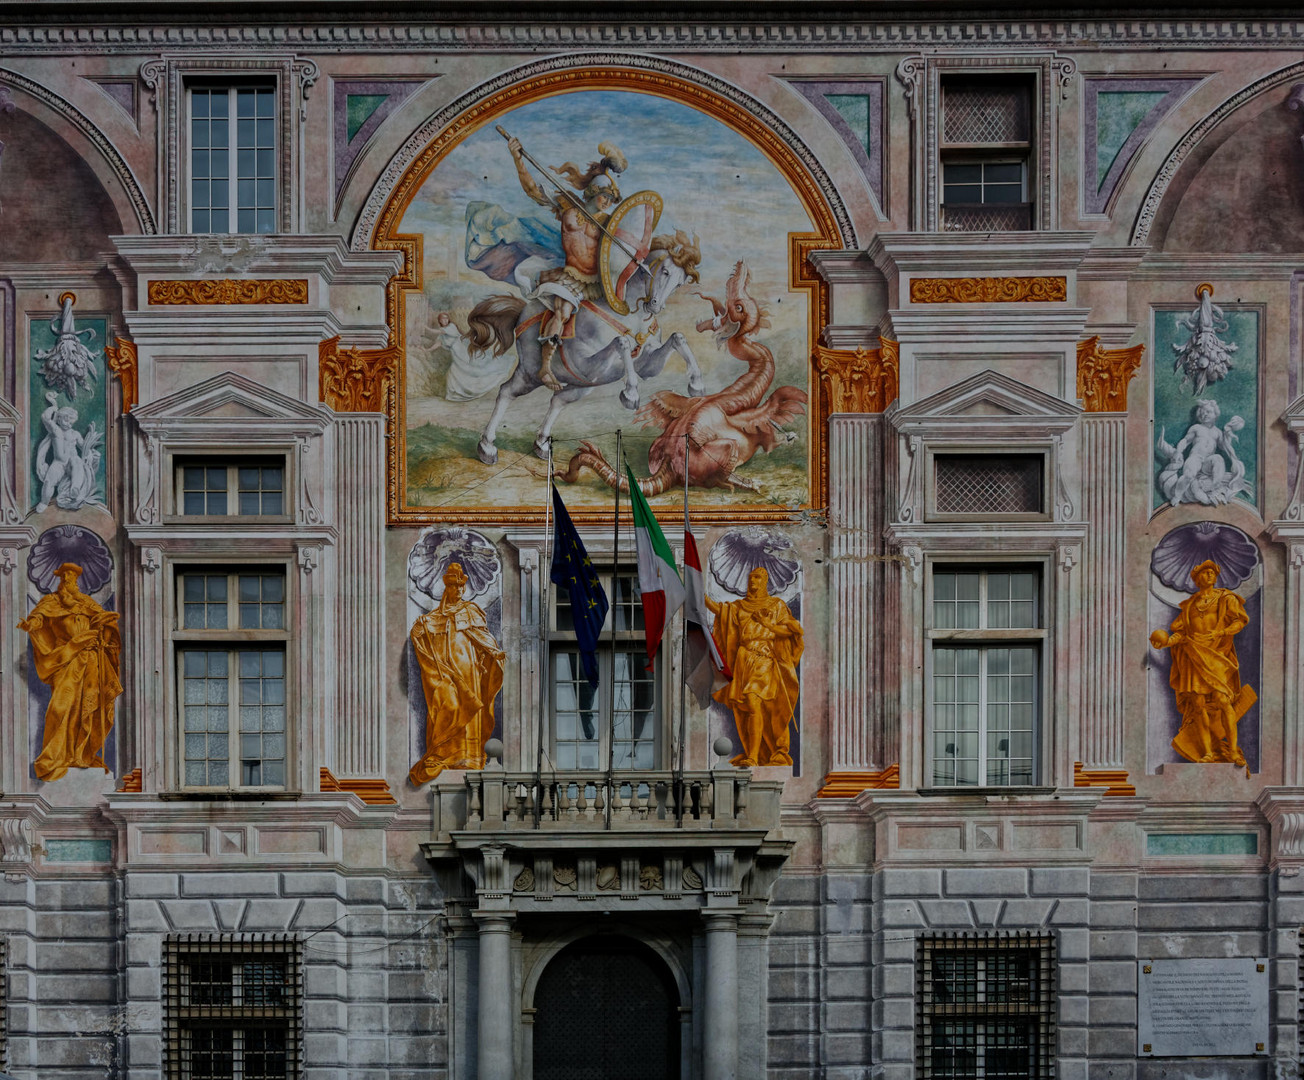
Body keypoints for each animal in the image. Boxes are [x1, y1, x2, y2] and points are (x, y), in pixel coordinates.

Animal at [472, 229, 704, 461]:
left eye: (680, 283)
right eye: (665, 271)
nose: (655, 306)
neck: (632, 316)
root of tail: (523, 312)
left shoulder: (644, 367)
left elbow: (677, 337)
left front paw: (696, 383)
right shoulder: (587, 366)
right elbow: (622, 343)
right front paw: (630, 393)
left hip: (580, 387)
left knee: (557, 400)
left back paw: (542, 444)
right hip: (530, 374)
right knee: (507, 392)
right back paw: (487, 446)